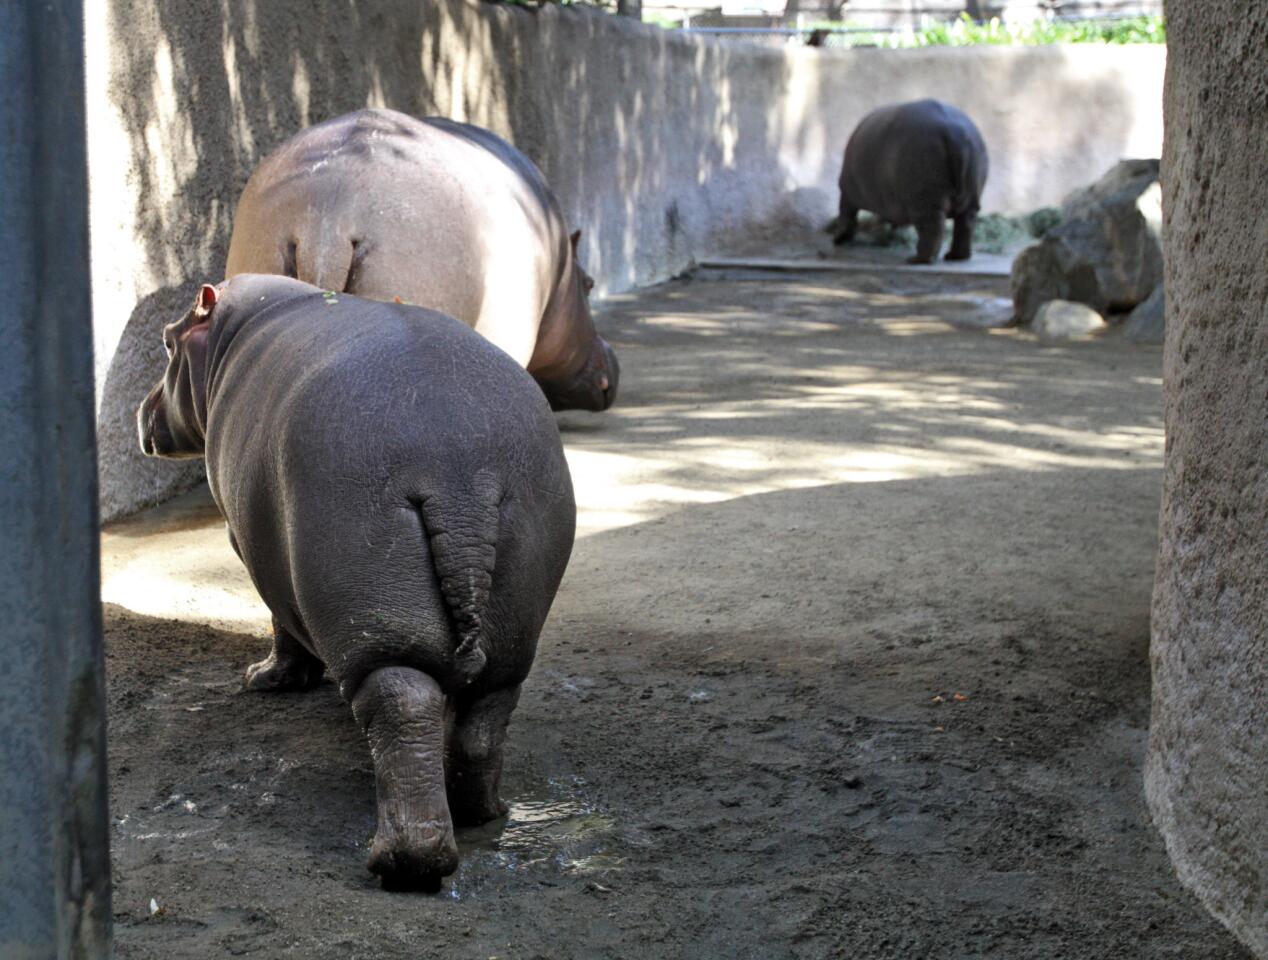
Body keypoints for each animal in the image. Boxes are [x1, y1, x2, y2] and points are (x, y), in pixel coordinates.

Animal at [137, 273, 575, 887]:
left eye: (166, 341)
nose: (143, 411)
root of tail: (459, 472)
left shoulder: (248, 544)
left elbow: (280, 620)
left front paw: (264, 678)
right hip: (510, 626)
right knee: (485, 718)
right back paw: (486, 812)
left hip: (379, 616)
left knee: (399, 705)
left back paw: (400, 863)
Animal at [831, 98, 989, 262]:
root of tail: (955, 132)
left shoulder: (846, 190)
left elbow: (846, 213)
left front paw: (839, 238)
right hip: (971, 195)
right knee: (965, 223)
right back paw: (954, 256)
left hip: (925, 198)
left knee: (932, 227)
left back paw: (918, 259)